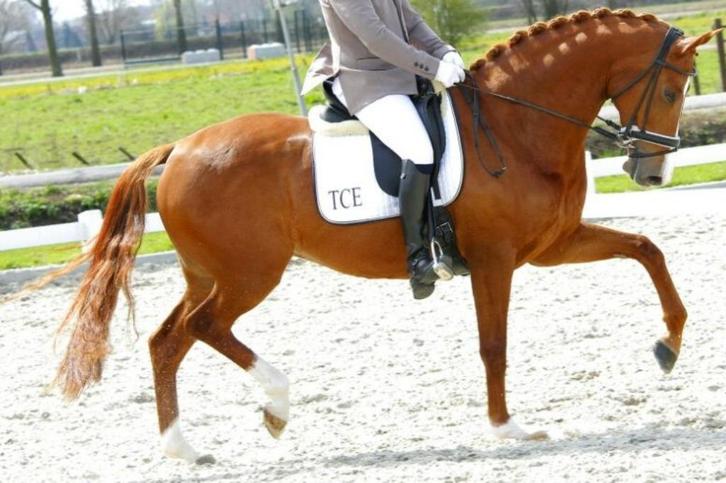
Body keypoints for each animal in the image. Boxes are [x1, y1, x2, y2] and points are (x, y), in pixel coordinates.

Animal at [17, 9, 720, 463]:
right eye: (670, 88)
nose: (652, 173)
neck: (516, 126)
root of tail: (182, 147)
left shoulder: (551, 246)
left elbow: (647, 248)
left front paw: (669, 345)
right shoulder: (495, 260)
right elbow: (494, 345)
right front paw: (507, 429)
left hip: (208, 273)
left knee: (169, 340)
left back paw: (184, 448)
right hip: (251, 273)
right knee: (203, 328)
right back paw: (276, 405)